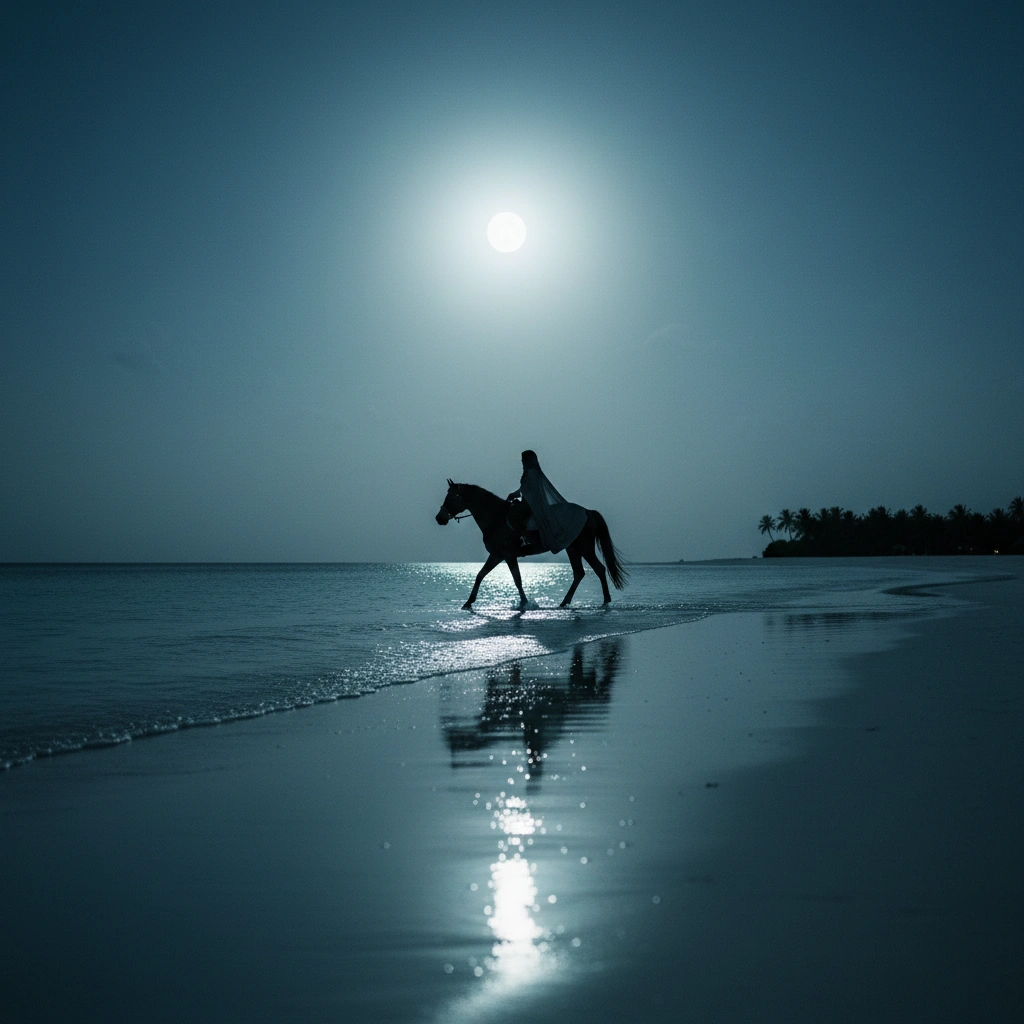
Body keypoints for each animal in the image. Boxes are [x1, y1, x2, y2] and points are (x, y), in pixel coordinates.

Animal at [435, 480, 628, 609]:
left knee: (598, 569)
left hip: (584, 548)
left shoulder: (508, 555)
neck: (495, 517)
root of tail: (588, 512)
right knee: (580, 573)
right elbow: (480, 575)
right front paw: (468, 602)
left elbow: (517, 579)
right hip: (573, 549)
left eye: (453, 496)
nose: (439, 518)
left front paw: (524, 603)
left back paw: (605, 601)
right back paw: (566, 602)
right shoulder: (496, 555)